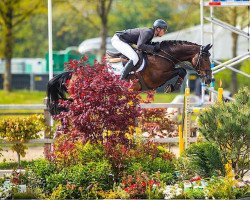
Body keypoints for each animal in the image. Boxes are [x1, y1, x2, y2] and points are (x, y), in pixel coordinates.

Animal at [46, 39, 211, 115]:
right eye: (205, 58)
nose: (209, 79)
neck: (163, 55)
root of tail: (73, 73)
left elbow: (180, 70)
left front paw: (172, 86)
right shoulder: (156, 78)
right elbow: (181, 70)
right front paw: (172, 87)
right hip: (82, 97)